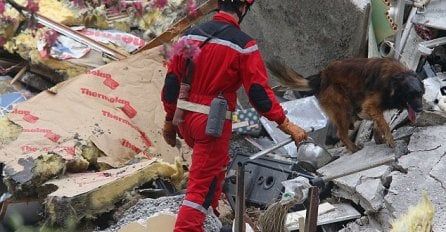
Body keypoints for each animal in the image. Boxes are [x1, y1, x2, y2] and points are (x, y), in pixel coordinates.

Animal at [268, 57, 426, 152]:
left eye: (420, 93)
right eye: (410, 95)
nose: (420, 109)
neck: (395, 79)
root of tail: (321, 76)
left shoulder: (374, 108)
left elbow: (378, 122)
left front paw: (378, 138)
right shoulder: (370, 105)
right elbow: (384, 123)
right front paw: (389, 139)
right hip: (342, 108)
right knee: (342, 134)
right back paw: (353, 148)